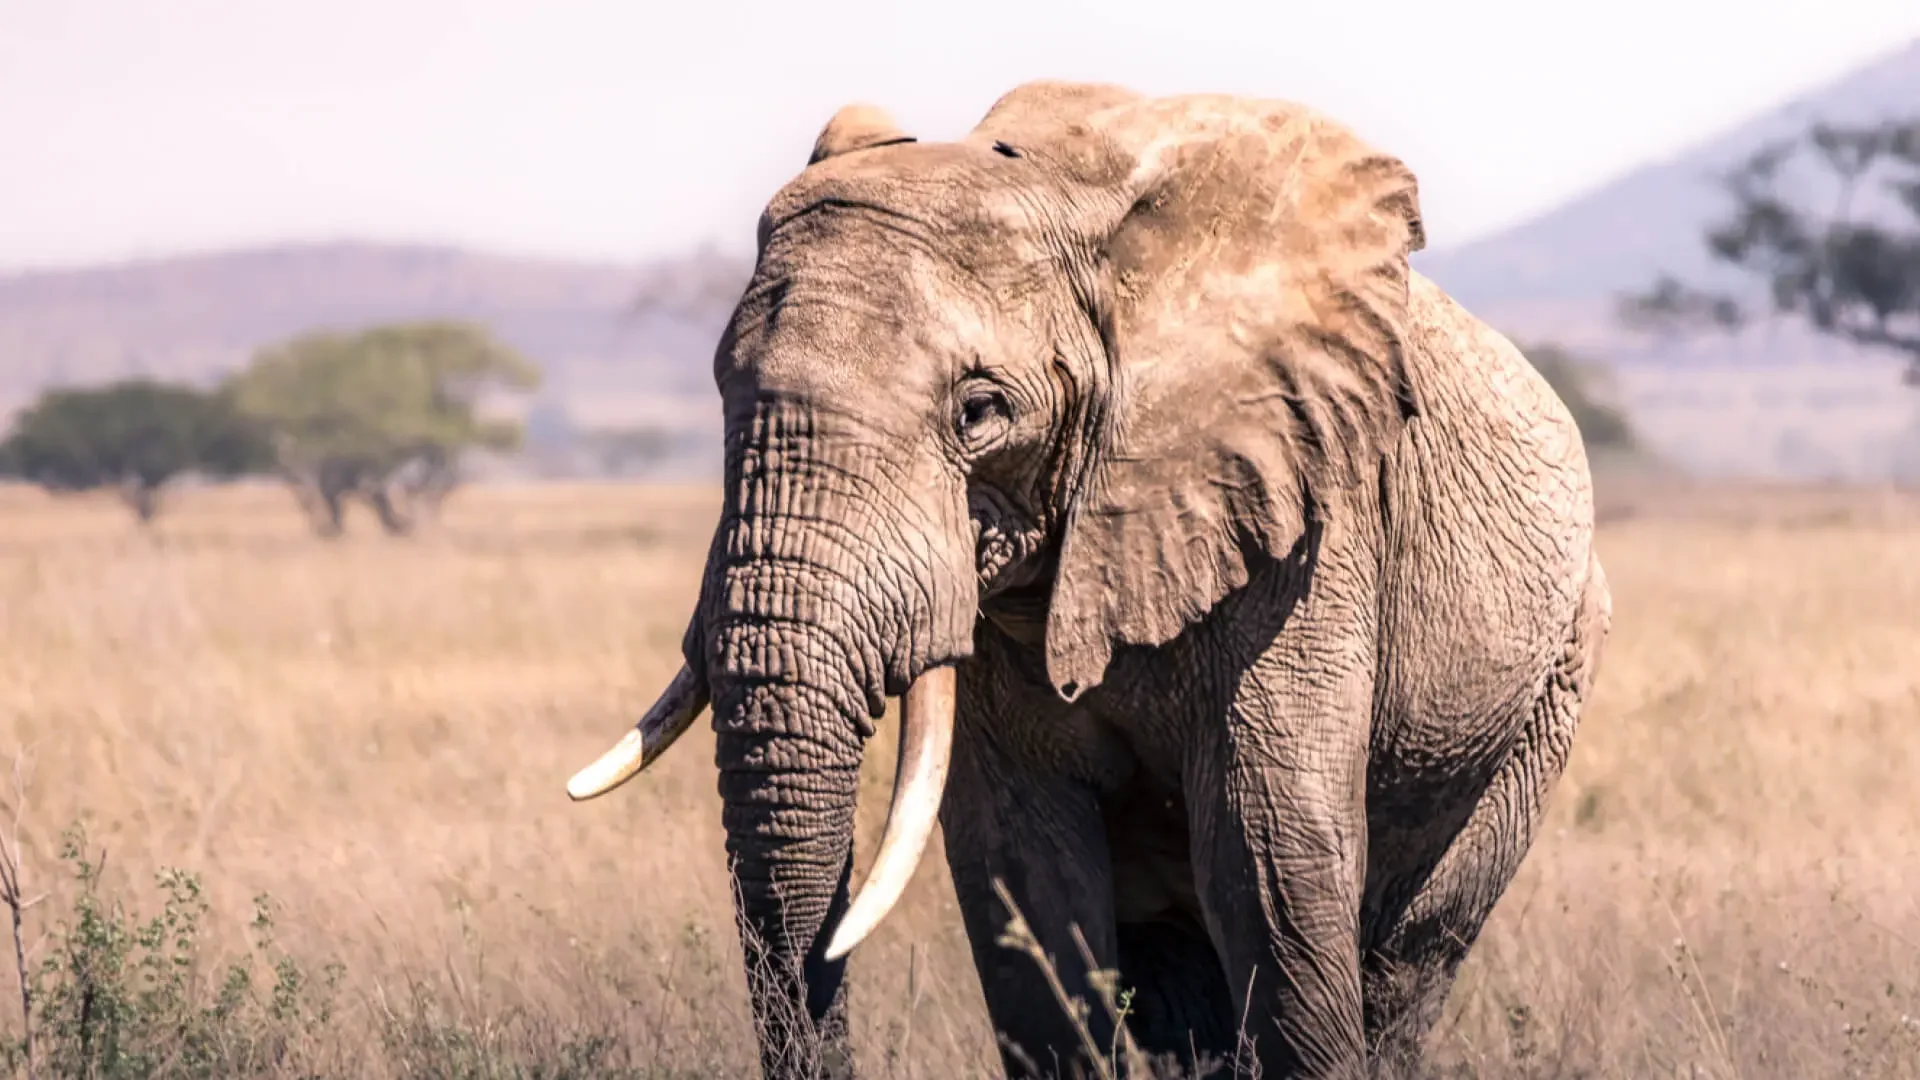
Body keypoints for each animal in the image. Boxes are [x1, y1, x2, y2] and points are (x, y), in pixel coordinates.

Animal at [565, 80, 1613, 1080]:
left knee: (1407, 959)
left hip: (1548, 687)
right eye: (722, 387)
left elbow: (1269, 862)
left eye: (979, 411)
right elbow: (1024, 879)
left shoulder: (1307, 533)